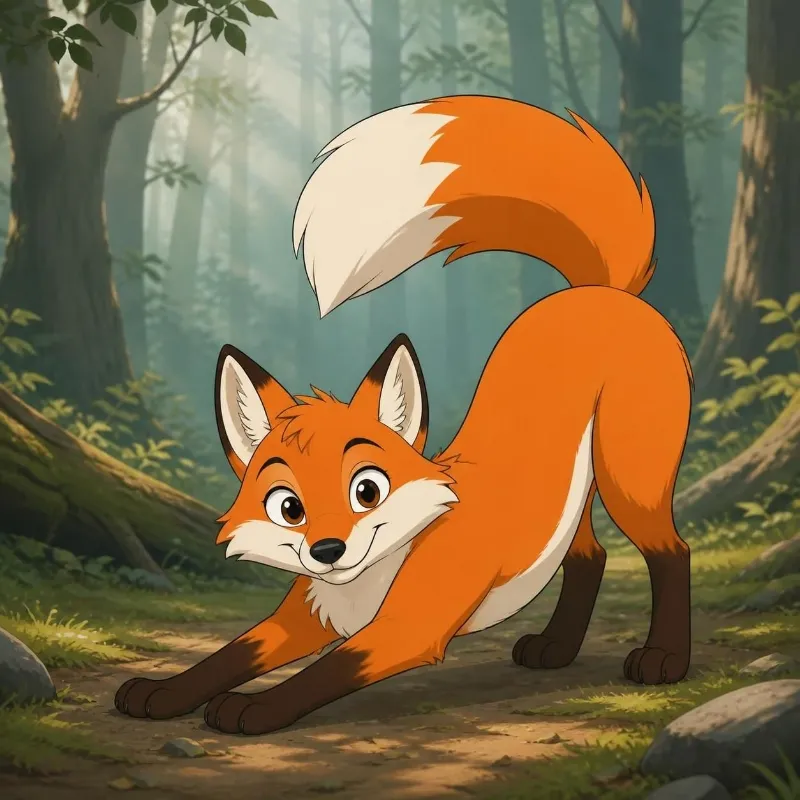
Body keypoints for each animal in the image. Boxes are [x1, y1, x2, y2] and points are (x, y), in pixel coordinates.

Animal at [115, 95, 693, 736]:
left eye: (367, 490)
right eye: (288, 507)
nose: (328, 550)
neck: (366, 580)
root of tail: (599, 293)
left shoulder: (408, 629)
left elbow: (321, 674)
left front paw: (252, 708)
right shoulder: (305, 614)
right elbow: (225, 657)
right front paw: (161, 692)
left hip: (629, 481)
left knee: (672, 553)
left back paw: (664, 659)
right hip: (573, 502)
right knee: (592, 556)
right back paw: (556, 649)